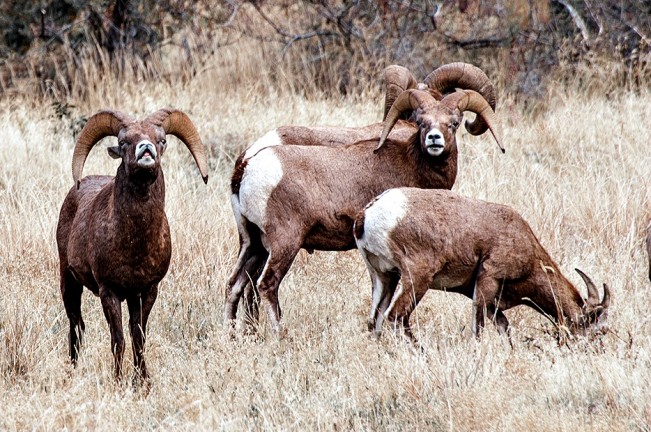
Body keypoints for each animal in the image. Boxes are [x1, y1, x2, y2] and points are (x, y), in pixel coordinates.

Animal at [56, 108, 208, 384]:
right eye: (124, 141)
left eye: (161, 140)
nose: (145, 149)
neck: (135, 244)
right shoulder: (110, 292)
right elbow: (118, 340)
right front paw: (118, 381)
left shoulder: (146, 291)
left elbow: (139, 338)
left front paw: (143, 382)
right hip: (68, 282)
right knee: (75, 325)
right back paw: (72, 369)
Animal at [225, 69, 504, 334]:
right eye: (421, 122)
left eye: (454, 122)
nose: (434, 139)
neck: (411, 163)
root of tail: (247, 166)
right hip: (284, 243)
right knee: (266, 285)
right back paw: (279, 334)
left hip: (252, 243)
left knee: (234, 285)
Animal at [354, 187, 611, 341]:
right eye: (597, 331)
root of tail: (368, 214)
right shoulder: (487, 283)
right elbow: (477, 331)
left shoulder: (489, 302)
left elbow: (504, 328)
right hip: (416, 280)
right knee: (396, 317)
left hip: (385, 278)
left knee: (375, 321)